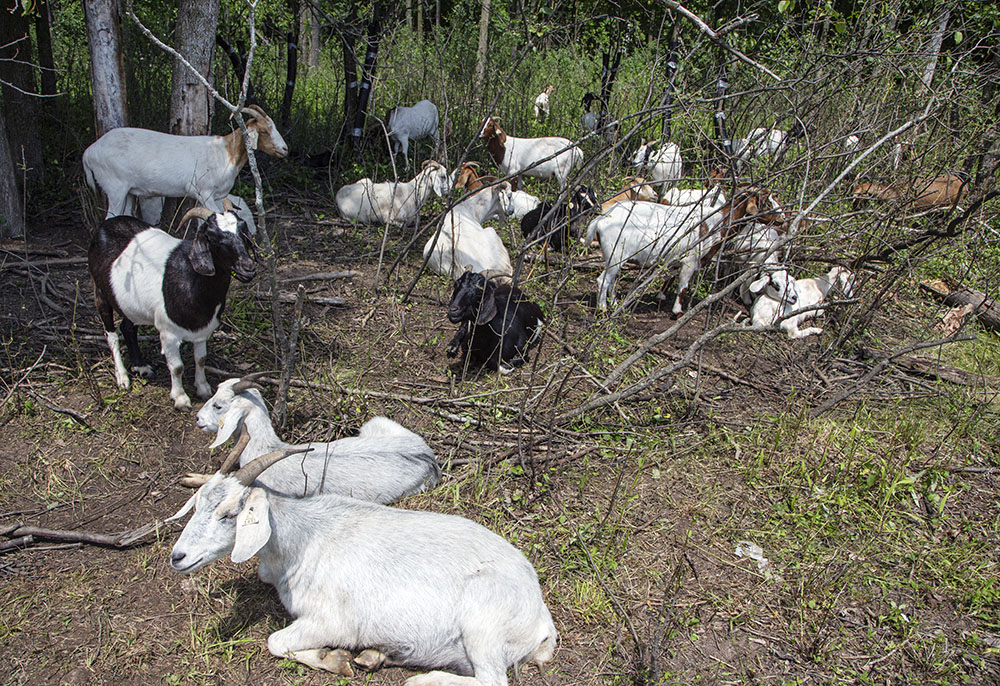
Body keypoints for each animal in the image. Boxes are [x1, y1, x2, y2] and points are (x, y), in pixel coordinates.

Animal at [81, 106, 288, 226]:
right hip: (115, 188)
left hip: (129, 192)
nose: (285, 149)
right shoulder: (204, 192)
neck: (225, 152)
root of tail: (89, 152)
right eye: (264, 131)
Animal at [88, 204, 256, 408]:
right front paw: (180, 398)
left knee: (127, 327)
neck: (191, 278)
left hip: (128, 303)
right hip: (99, 292)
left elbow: (201, 359)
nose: (248, 267)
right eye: (213, 237)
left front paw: (203, 389)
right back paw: (122, 378)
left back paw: (141, 366)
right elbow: (177, 367)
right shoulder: (168, 333)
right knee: (111, 334)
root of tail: (105, 225)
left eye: (243, 230)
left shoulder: (202, 330)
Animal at [169, 452, 560, 686]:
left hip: (482, 622)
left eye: (230, 514)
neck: (303, 541)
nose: (178, 557)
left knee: (492, 679)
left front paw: (334, 658)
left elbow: (275, 641)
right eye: (197, 504)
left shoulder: (332, 622)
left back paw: (419, 679)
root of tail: (541, 619)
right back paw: (378, 656)